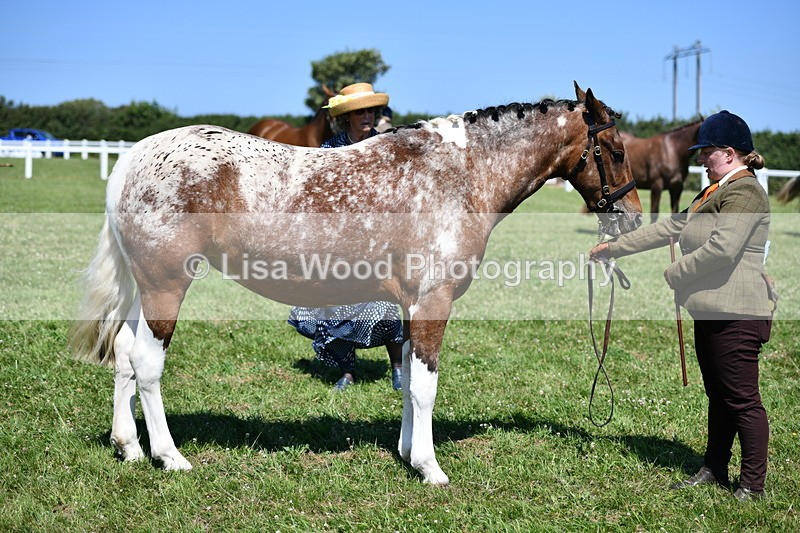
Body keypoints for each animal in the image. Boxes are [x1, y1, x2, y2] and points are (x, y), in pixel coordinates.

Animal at [70, 83, 642, 485]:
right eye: (614, 150)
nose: (634, 216)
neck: (459, 174)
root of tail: (132, 157)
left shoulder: (410, 306)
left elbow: (408, 381)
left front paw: (408, 453)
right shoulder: (432, 303)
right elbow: (426, 385)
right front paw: (430, 468)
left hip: (147, 290)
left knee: (124, 352)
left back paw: (129, 446)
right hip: (167, 285)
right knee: (147, 363)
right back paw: (170, 457)